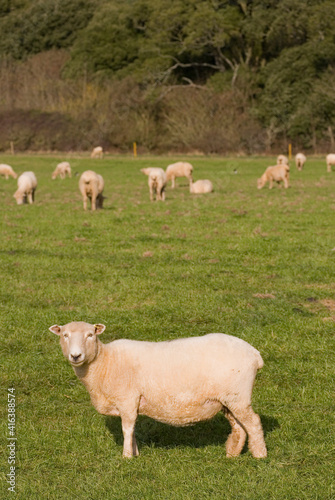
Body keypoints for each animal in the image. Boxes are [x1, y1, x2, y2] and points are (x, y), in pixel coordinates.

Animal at [50, 322, 270, 458]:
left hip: (238, 396)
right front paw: (136, 453)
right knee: (239, 426)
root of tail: (254, 353)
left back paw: (260, 455)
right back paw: (231, 454)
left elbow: (127, 429)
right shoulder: (132, 402)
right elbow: (133, 429)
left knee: (253, 422)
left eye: (90, 335)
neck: (105, 362)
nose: (75, 356)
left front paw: (126, 457)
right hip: (228, 399)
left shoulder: (127, 399)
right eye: (65, 335)